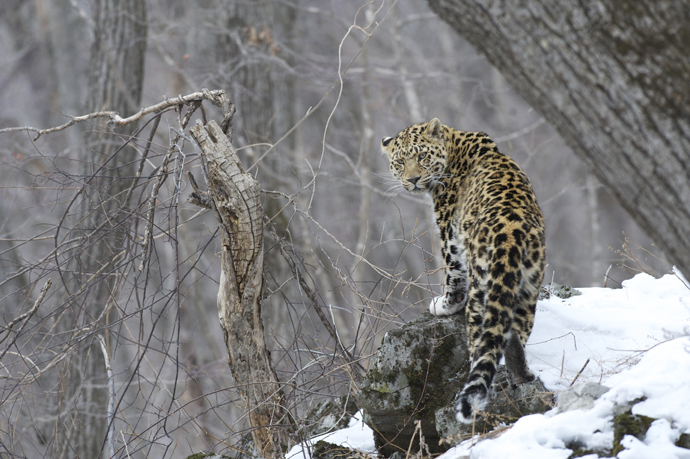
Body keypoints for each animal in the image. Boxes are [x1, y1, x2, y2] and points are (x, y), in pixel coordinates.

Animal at [378, 117, 544, 424]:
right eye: (400, 162)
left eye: (422, 156)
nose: (412, 180)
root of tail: (511, 236)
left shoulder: (450, 235)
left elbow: (452, 277)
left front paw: (442, 306)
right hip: (530, 285)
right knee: (516, 334)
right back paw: (521, 376)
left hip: (481, 290)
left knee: (481, 344)